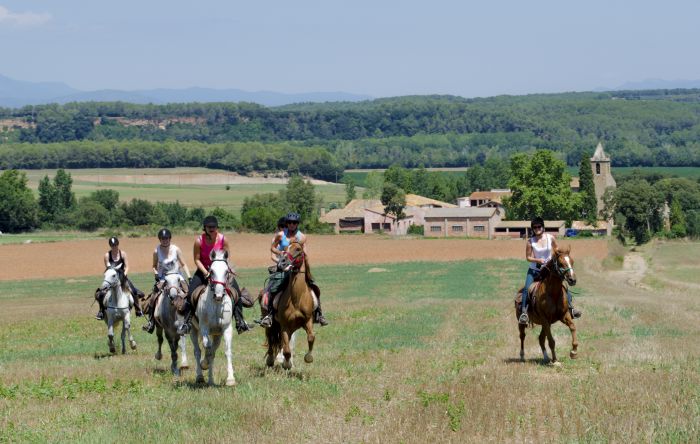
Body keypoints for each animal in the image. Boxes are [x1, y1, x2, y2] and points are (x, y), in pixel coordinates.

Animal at [189, 250, 238, 386]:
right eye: (211, 271)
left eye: (226, 271)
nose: (218, 295)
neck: (216, 304)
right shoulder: (204, 328)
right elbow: (207, 347)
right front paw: (204, 364)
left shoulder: (226, 329)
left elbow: (227, 351)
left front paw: (230, 379)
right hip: (193, 330)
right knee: (198, 351)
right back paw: (200, 376)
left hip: (217, 335)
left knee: (213, 352)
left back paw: (210, 380)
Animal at [264, 241, 316, 370]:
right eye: (285, 249)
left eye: (298, 249)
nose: (282, 262)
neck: (296, 298)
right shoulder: (284, 326)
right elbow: (286, 350)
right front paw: (286, 364)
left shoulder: (307, 320)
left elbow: (311, 337)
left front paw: (308, 357)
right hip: (270, 324)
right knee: (271, 339)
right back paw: (270, 360)